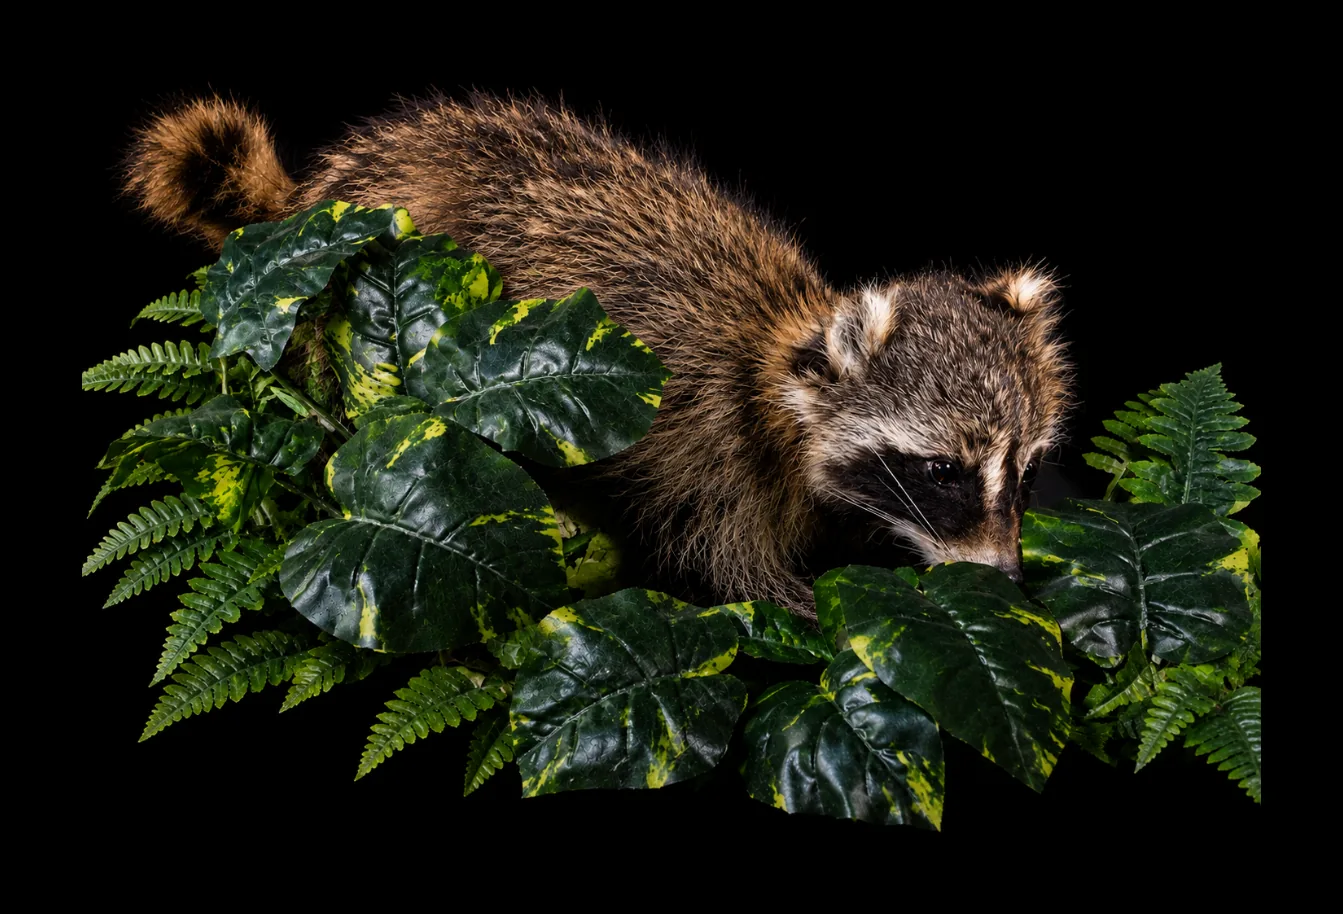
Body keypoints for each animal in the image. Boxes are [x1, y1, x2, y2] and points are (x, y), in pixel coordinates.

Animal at [125, 94, 1071, 615]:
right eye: (942, 471)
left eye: (1023, 472)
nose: (1002, 577)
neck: (786, 362)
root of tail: (312, 197)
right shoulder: (707, 447)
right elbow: (728, 571)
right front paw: (807, 610)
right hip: (347, 321)